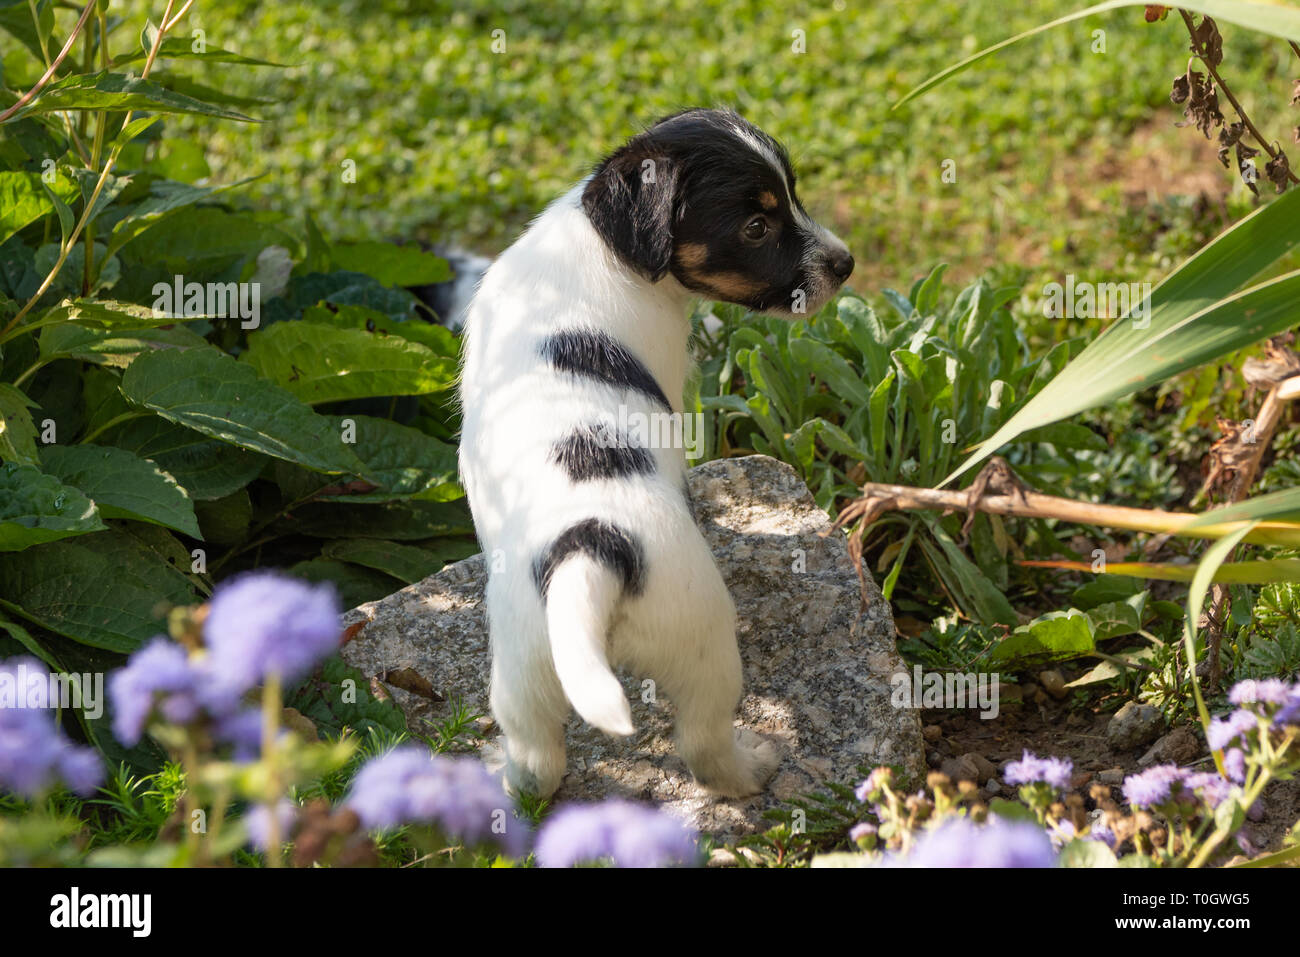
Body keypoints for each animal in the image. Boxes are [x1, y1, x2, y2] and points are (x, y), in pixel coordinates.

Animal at [457, 106, 852, 800]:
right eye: (757, 226)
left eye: (793, 196)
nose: (847, 263)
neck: (604, 246)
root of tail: (594, 546)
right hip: (704, 643)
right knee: (703, 743)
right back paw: (753, 767)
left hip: (524, 672)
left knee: (537, 764)